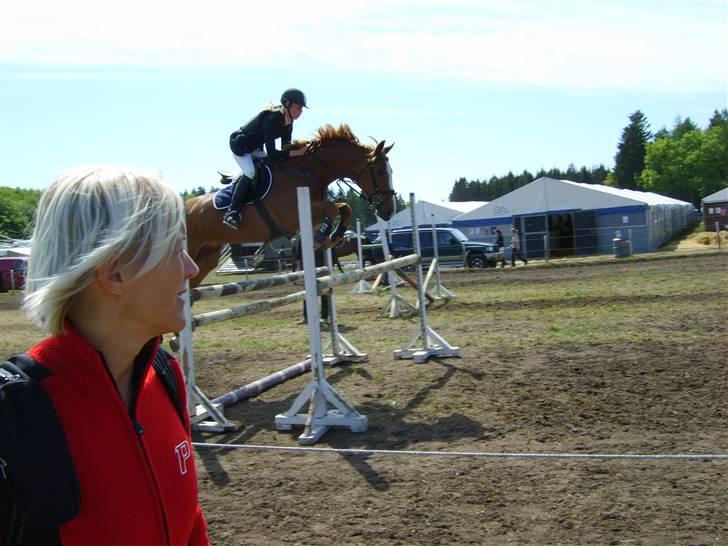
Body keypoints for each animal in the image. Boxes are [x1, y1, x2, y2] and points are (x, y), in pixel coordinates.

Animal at [185, 122, 396, 284]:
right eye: (380, 172)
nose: (389, 211)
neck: (307, 172)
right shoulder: (289, 216)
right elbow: (332, 209)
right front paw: (322, 238)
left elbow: (344, 208)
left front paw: (333, 236)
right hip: (192, 248)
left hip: (208, 255)